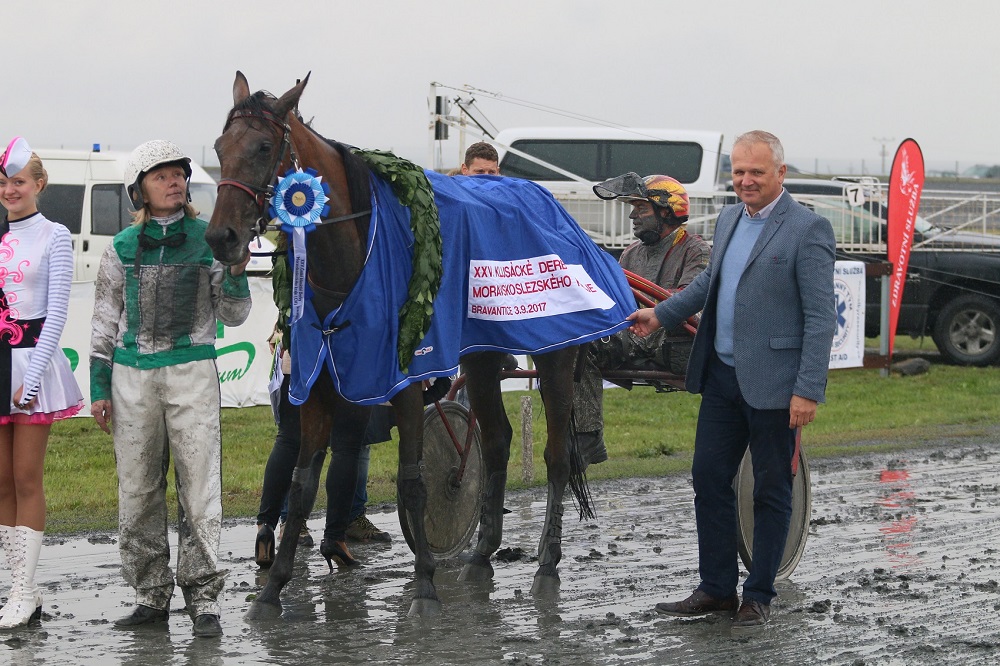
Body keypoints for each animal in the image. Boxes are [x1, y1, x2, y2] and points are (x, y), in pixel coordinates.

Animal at [205, 72, 600, 616]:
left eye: (264, 146)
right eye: (219, 147)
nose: (220, 236)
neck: (351, 261)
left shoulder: (407, 379)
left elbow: (412, 481)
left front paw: (426, 584)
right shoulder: (317, 382)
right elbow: (302, 486)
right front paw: (272, 588)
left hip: (557, 350)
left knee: (558, 456)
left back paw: (546, 564)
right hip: (481, 360)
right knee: (497, 442)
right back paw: (481, 556)